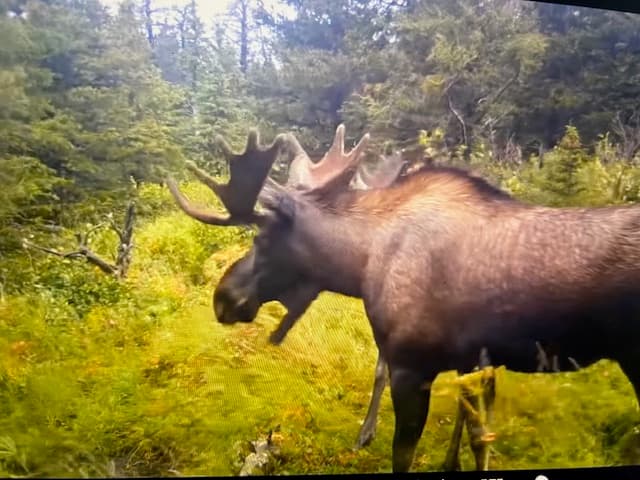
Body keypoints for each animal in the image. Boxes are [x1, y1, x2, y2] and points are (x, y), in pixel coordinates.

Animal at [167, 125, 640, 473]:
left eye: (261, 237)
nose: (223, 298)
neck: (362, 263)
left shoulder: (413, 365)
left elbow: (404, 455)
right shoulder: (472, 362)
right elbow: (475, 441)